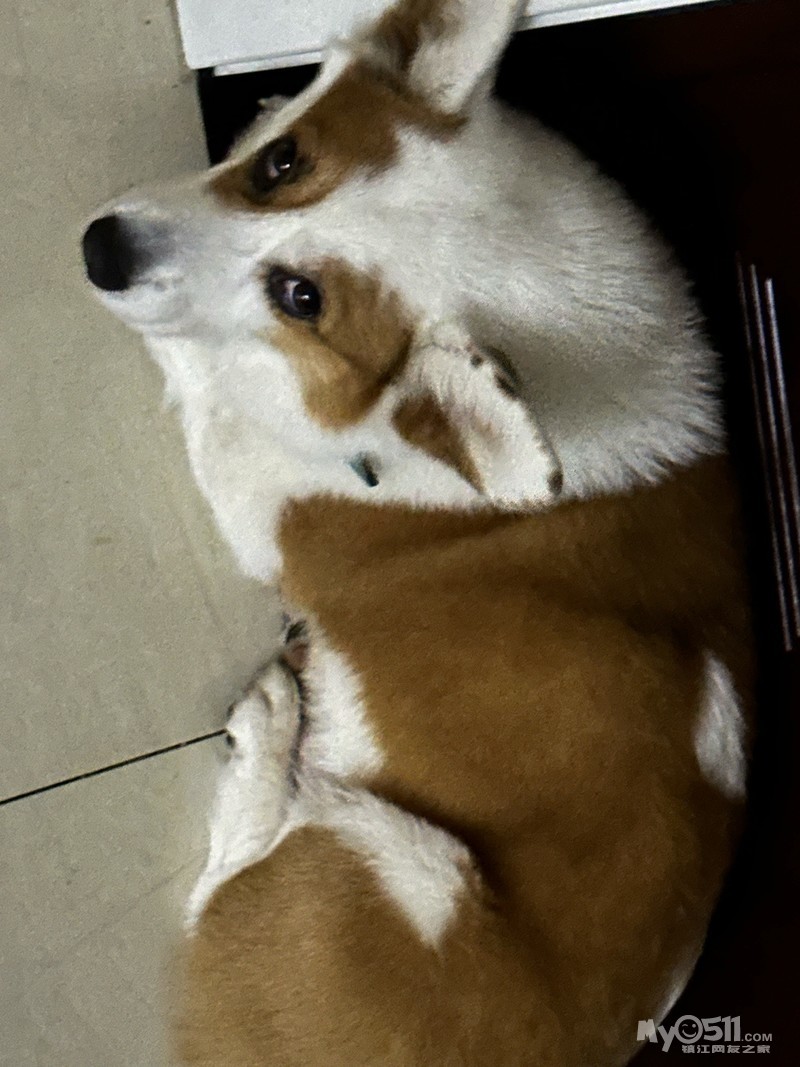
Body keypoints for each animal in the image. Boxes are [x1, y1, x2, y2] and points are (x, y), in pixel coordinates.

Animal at [82, 0, 753, 1063]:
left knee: (220, 884)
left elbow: (203, 382)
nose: (100, 251)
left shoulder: (258, 490)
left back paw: (268, 729)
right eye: (280, 164)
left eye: (302, 298)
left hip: (395, 863)